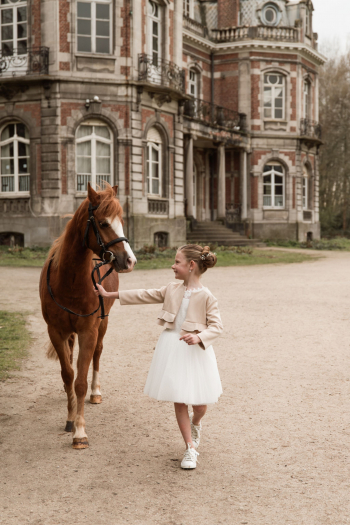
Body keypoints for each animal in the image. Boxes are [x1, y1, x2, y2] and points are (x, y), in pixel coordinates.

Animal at [39, 182, 136, 448]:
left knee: (97, 354)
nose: (130, 260)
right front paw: (71, 416)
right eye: (103, 223)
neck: (70, 281)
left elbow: (81, 381)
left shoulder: (88, 331)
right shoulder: (57, 331)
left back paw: (96, 393)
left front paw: (80, 431)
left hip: (103, 324)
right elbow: (68, 374)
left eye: (122, 221)